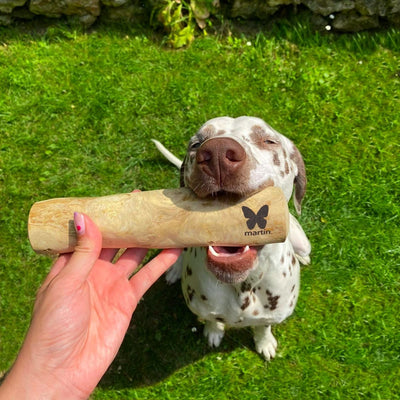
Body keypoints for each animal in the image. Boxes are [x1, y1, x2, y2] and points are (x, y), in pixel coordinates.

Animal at [152, 115, 310, 360]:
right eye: (196, 144)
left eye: (268, 141)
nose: (217, 153)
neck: (243, 285)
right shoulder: (205, 309)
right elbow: (212, 320)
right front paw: (214, 332)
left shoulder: (271, 315)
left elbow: (263, 326)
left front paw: (264, 342)